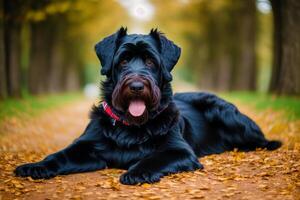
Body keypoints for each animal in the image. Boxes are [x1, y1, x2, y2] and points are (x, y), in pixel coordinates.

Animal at [14, 27, 282, 184]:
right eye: (123, 61)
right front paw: (36, 166)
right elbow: (59, 155)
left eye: (151, 61)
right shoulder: (86, 147)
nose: (136, 86)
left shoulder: (179, 151)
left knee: (261, 140)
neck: (130, 126)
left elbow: (154, 158)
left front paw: (136, 171)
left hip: (225, 112)